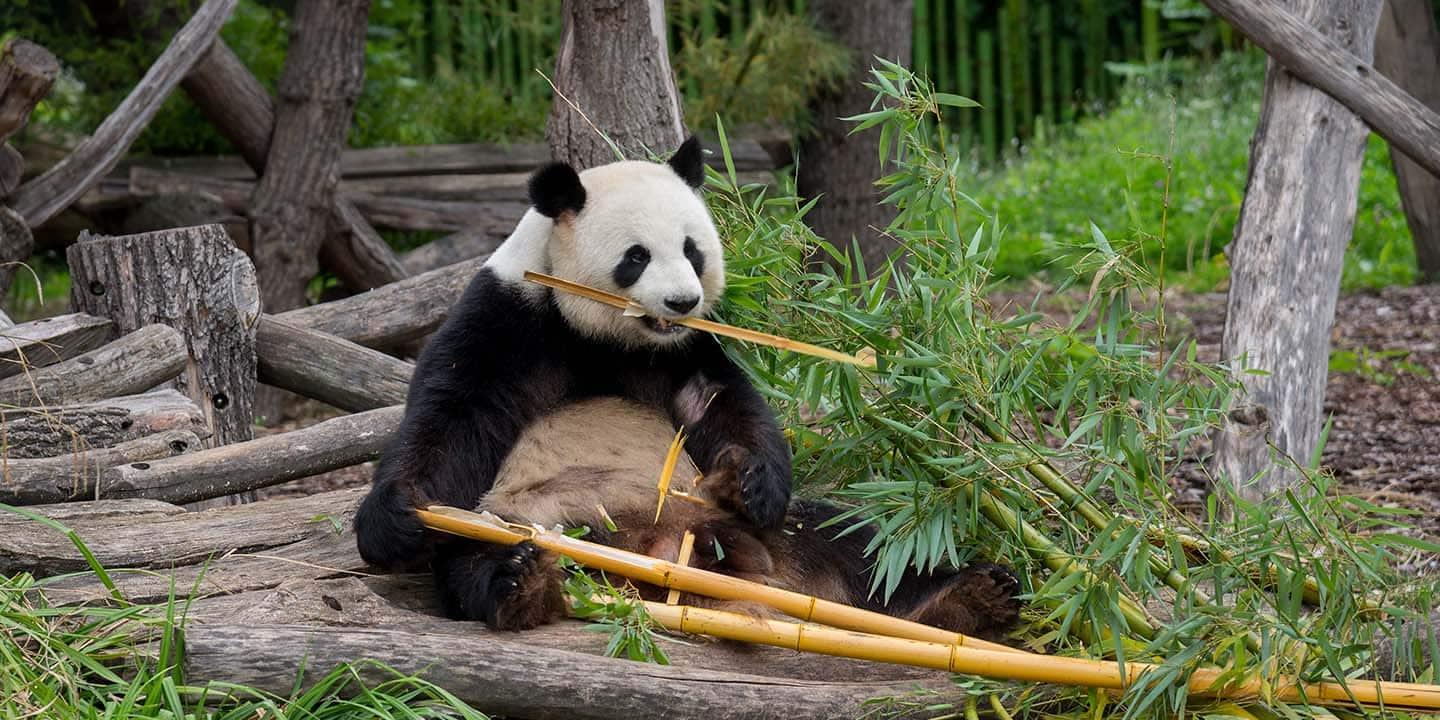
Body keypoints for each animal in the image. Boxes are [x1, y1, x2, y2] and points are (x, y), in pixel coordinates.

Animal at [352, 137, 1019, 639]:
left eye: (693, 250)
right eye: (636, 257)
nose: (682, 301)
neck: (601, 333)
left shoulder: (688, 346)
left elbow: (723, 402)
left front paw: (750, 478)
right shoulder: (509, 317)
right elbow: (452, 420)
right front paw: (397, 515)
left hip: (773, 528)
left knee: (875, 542)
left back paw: (976, 598)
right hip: (529, 519)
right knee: (477, 555)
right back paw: (522, 584)